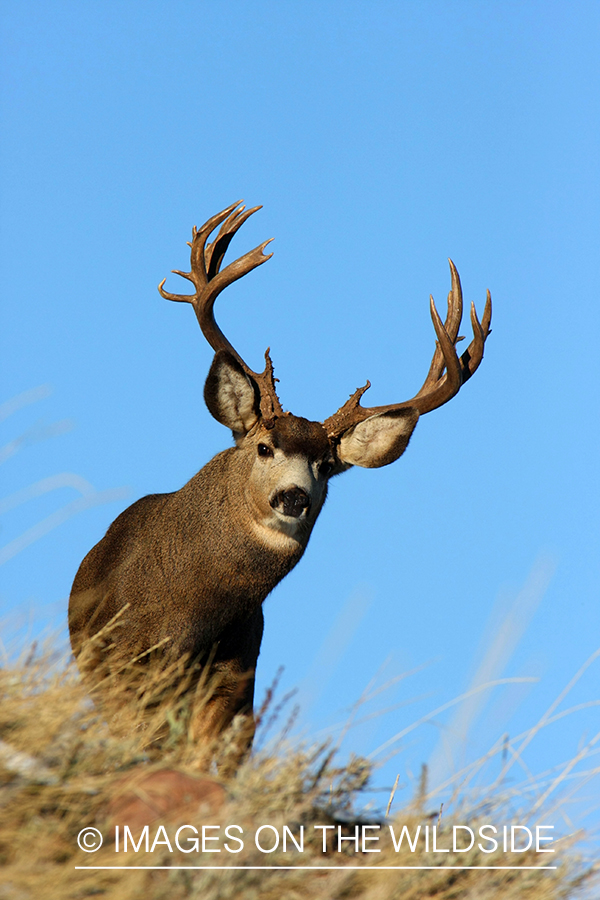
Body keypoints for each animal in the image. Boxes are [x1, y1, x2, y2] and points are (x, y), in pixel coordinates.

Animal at [69, 200, 492, 756]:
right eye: (264, 446)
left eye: (327, 466)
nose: (293, 497)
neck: (187, 620)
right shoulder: (121, 667)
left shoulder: (233, 685)